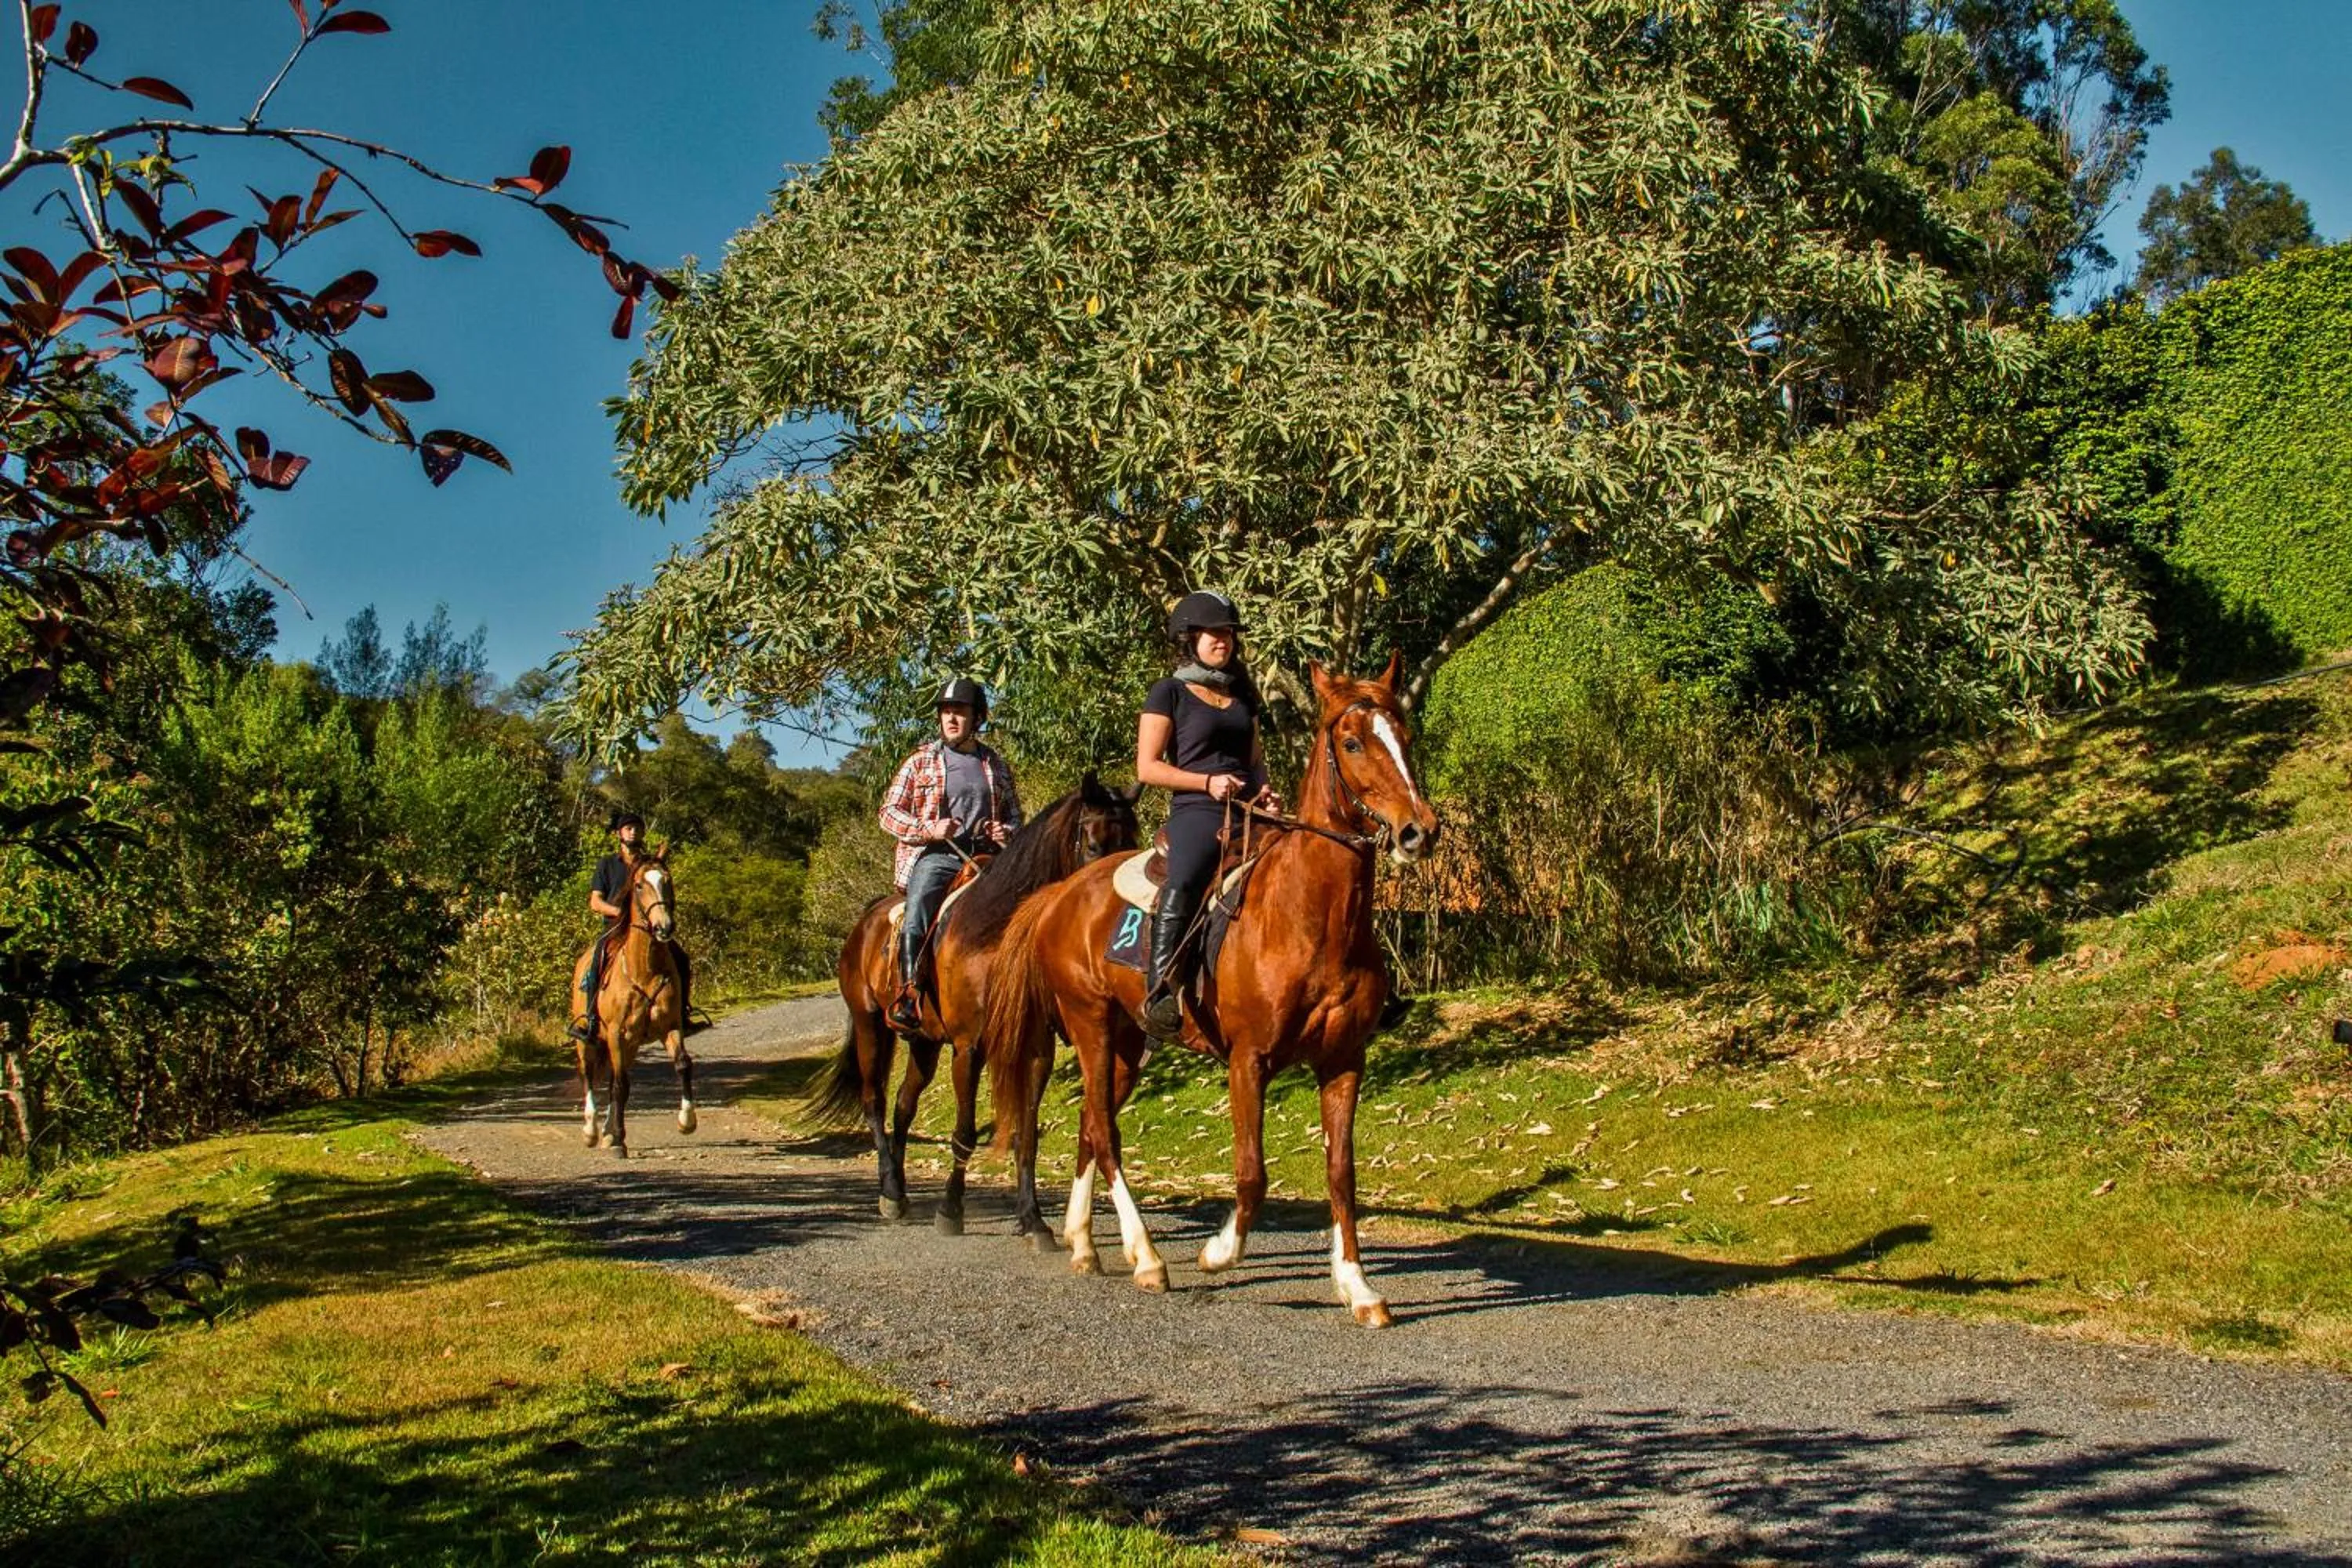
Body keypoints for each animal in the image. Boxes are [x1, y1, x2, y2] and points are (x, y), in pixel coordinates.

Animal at [568, 846, 696, 1158]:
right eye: (639, 885)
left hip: (632, 1045)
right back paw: (592, 1131)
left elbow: (683, 1065)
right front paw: (618, 1141)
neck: (645, 969)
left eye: (667, 880)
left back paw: (607, 1132)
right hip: (588, 1040)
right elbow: (620, 1085)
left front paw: (687, 1121)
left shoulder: (670, 1027)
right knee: (588, 1074)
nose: (664, 927)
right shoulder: (617, 1033)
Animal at [806, 774, 1141, 1225]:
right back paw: (890, 1191)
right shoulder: (969, 1047)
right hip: (869, 1024)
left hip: (924, 1041)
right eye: (1092, 845)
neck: (996, 935)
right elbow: (964, 1132)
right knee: (874, 1100)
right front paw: (950, 1210)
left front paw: (1033, 1220)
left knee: (904, 1104)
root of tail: (867, 918)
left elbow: (1025, 1134)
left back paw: (902, 1189)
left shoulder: (1034, 1049)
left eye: (1132, 840)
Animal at [981, 655, 1439, 1324]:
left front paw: (1357, 1287)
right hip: (1091, 1026)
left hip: (1128, 1045)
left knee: (1093, 1124)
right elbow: (1251, 1174)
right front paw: (1220, 1252)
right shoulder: (1249, 1060)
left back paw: (1085, 1245)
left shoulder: (1344, 1061)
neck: (1309, 916)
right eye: (1353, 742)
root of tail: (1061, 894)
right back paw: (1147, 1258)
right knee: (1106, 1134)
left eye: (1403, 736)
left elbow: (1341, 1173)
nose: (1419, 832)